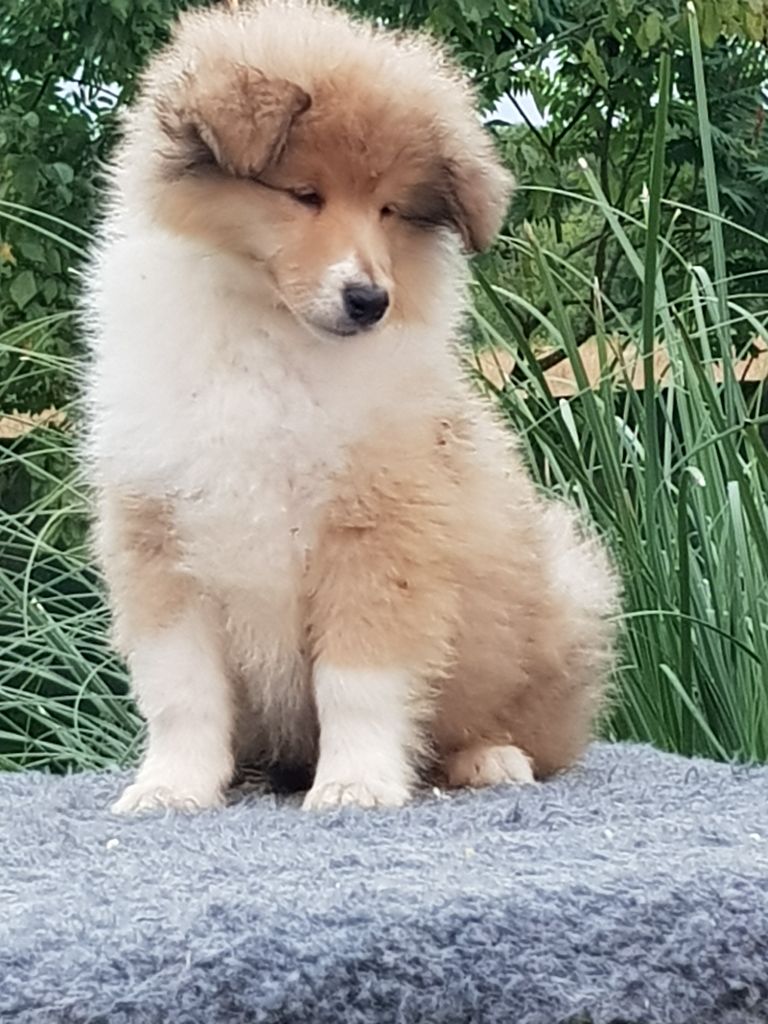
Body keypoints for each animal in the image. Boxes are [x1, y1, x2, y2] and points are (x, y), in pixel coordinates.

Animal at [83, 0, 618, 813]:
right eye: (303, 194)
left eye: (390, 210)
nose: (369, 300)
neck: (270, 339)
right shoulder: (159, 539)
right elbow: (182, 692)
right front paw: (170, 789)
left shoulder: (379, 533)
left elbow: (356, 681)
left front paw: (355, 785)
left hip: (551, 595)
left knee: (529, 731)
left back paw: (488, 759)